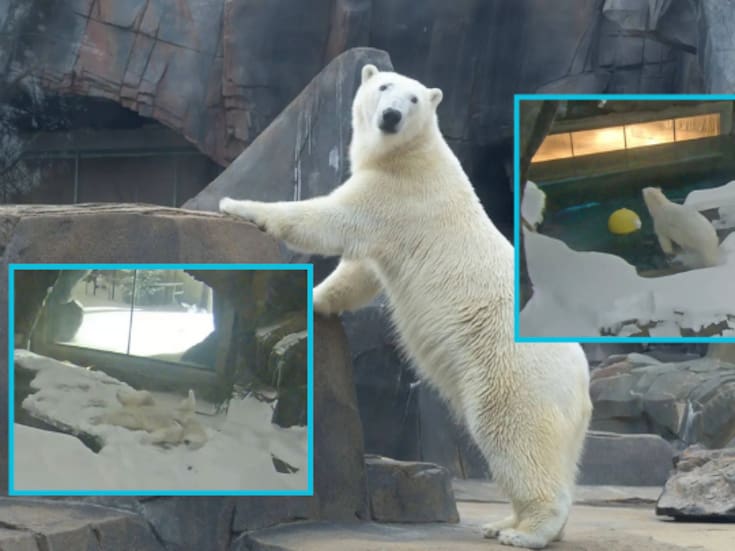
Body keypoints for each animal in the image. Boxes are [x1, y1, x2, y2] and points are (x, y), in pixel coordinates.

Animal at [219, 64, 592, 549]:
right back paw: (504, 522)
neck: (413, 155)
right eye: (383, 87)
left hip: (516, 376)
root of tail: (583, 381)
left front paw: (238, 205)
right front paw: (317, 300)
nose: (391, 116)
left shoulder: (397, 195)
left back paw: (524, 532)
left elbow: (329, 220)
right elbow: (361, 273)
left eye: (413, 99)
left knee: (515, 438)